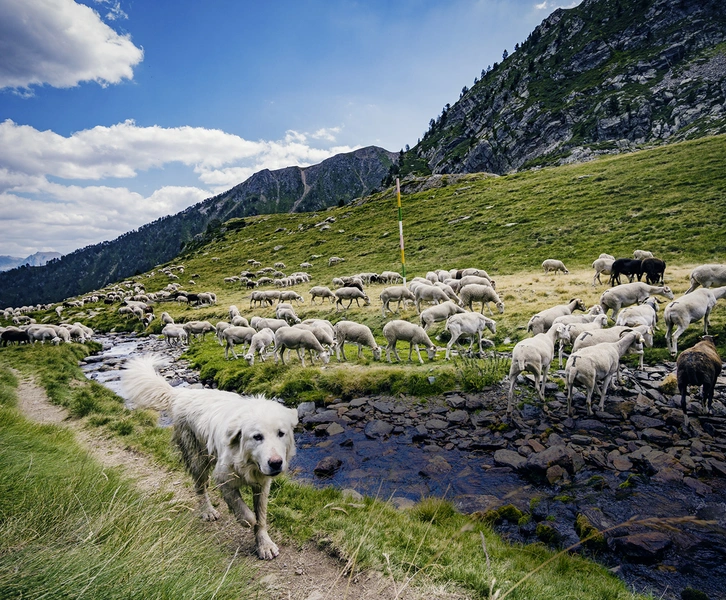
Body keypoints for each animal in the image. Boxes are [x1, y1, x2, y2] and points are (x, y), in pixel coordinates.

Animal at [122, 356, 298, 556]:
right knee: (199, 487)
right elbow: (244, 511)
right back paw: (207, 511)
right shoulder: (222, 478)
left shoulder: (262, 484)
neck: (247, 462)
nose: (276, 463)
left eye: (281, 433)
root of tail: (182, 394)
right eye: (257, 437)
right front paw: (246, 520)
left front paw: (264, 544)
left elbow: (261, 516)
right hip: (197, 458)